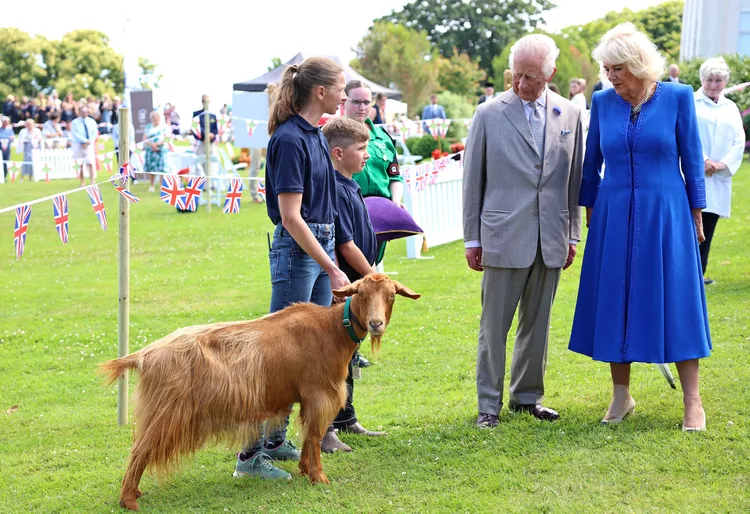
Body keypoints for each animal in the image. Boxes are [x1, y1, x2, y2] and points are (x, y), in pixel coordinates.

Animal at [98, 272, 424, 508]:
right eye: (362, 294)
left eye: (391, 296)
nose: (376, 323)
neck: (331, 330)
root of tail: (144, 354)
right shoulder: (319, 395)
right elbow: (315, 435)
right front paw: (319, 478)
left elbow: (308, 436)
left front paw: (305, 469)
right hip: (167, 411)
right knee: (139, 450)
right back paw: (128, 500)